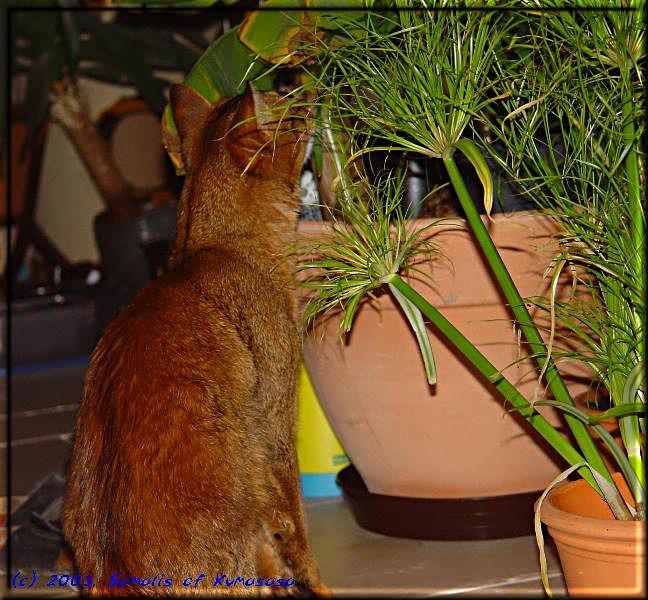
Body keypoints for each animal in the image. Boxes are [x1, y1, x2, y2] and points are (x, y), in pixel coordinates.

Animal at [64, 83, 330, 596]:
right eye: (291, 107)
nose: (310, 89)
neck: (213, 249)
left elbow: (273, 549)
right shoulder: (275, 432)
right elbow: (296, 530)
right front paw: (318, 585)